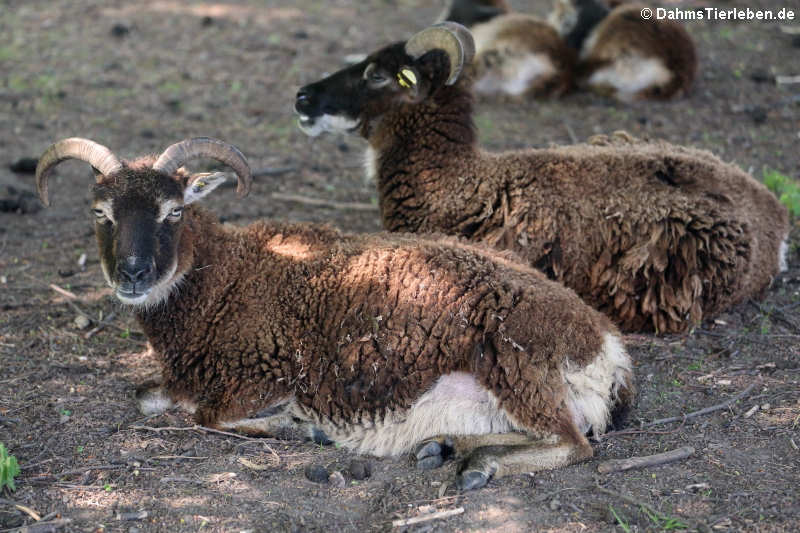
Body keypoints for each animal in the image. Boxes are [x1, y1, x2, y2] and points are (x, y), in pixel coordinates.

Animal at [35, 136, 634, 490]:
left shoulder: (261, 372)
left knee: (574, 442)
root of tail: (606, 350)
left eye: (175, 211)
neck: (222, 278)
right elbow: (145, 399)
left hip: (512, 363)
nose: (133, 275)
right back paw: (443, 447)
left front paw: (301, 429)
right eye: (100, 213)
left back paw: (477, 466)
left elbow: (208, 416)